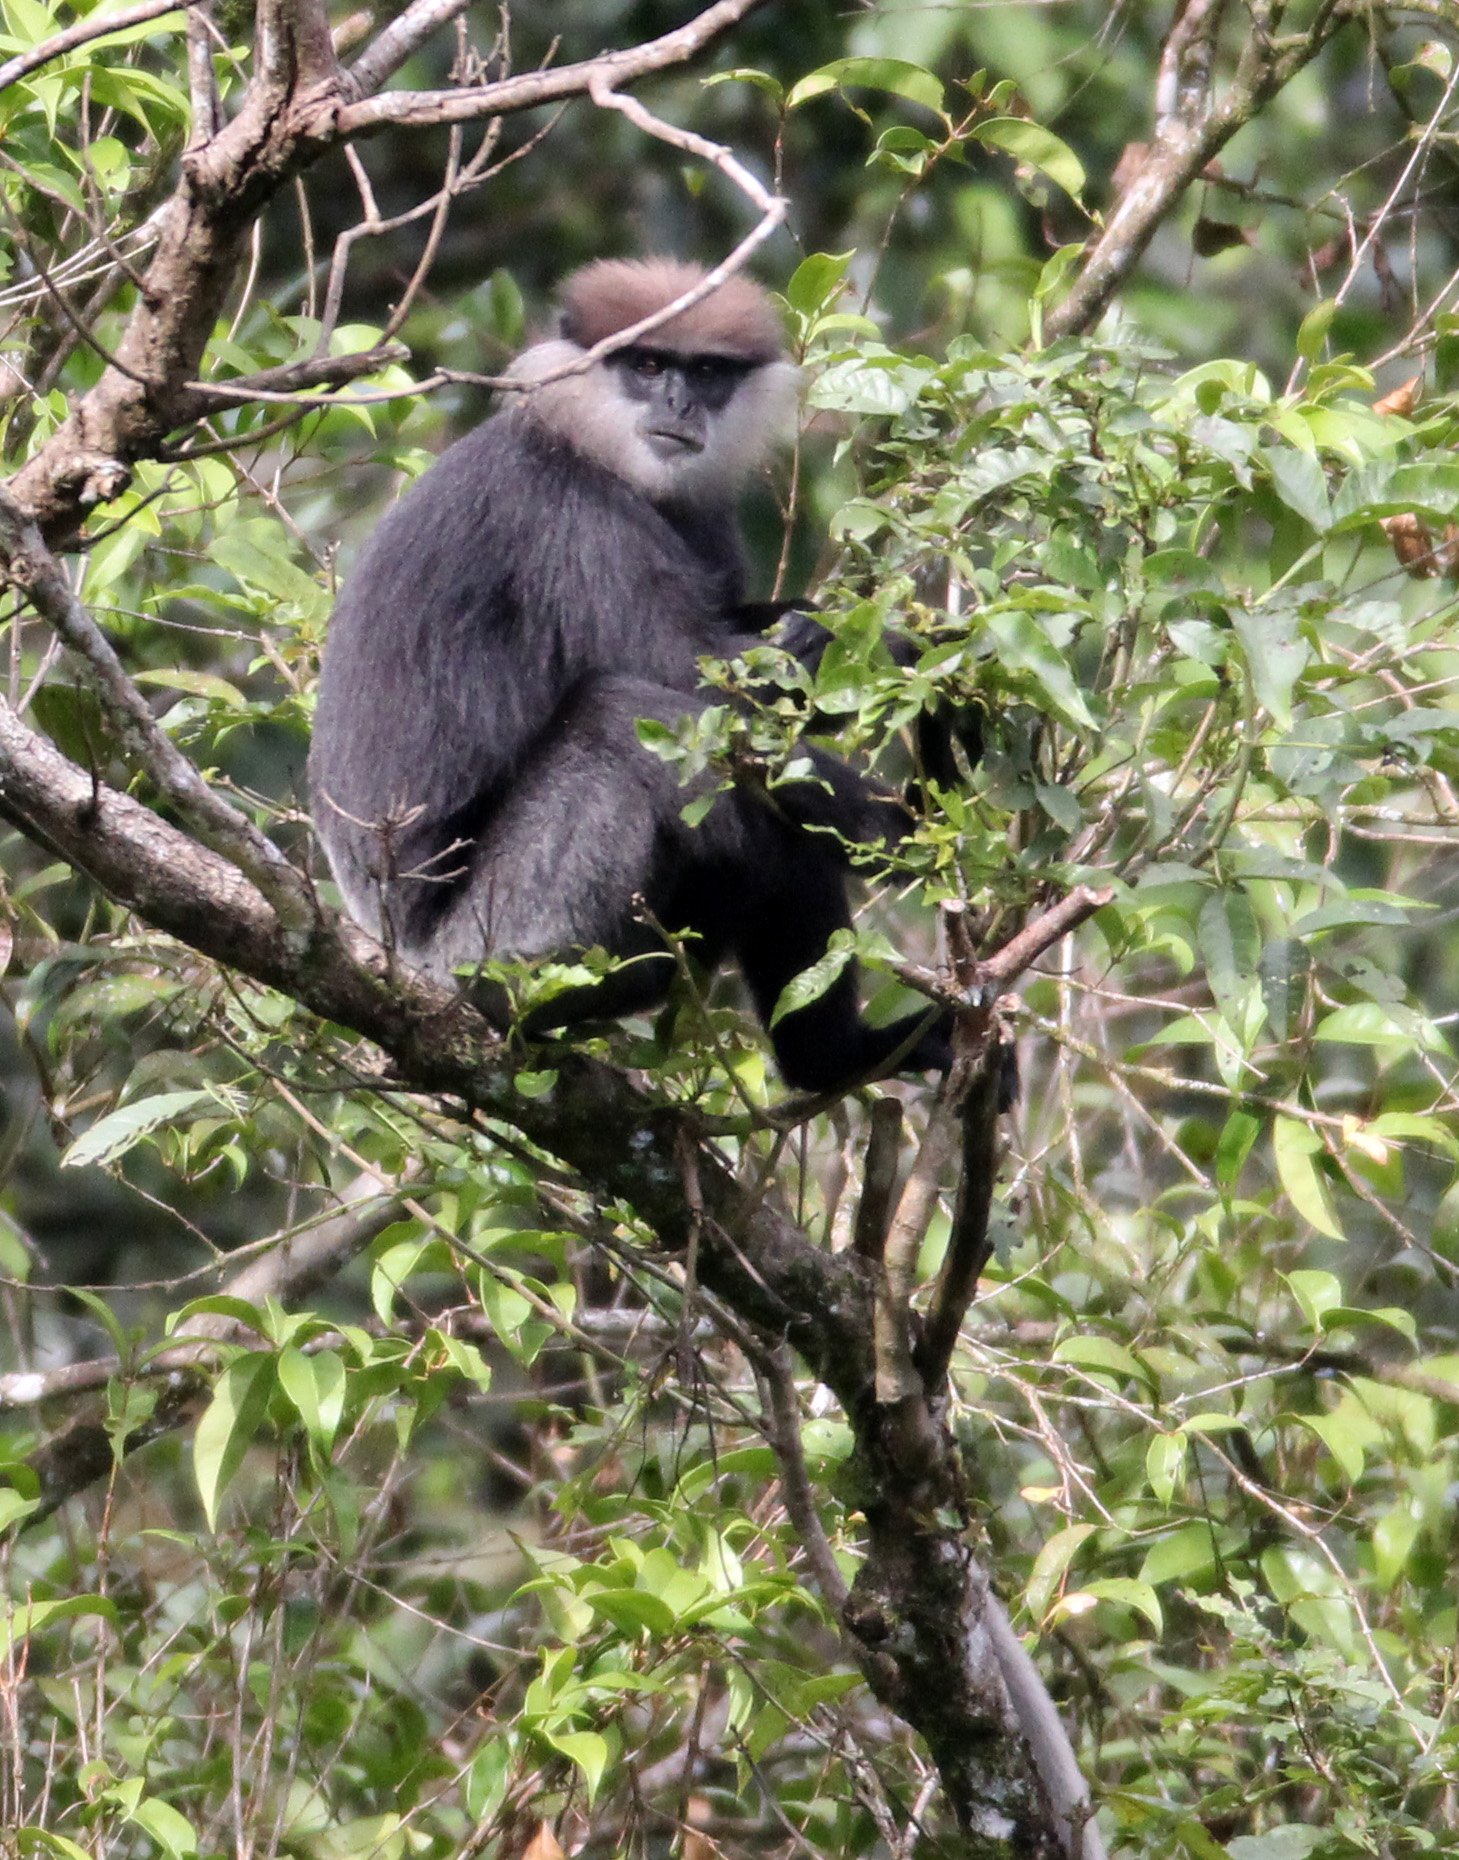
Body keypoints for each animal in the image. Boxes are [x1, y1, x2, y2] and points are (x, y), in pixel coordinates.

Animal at [308, 258, 952, 1093]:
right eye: (647, 366)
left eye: (706, 373)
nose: (679, 403)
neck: (587, 444)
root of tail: (390, 948)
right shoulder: (566, 516)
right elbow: (707, 694)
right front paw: (919, 695)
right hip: (484, 936)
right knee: (625, 720)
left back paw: (828, 1058)